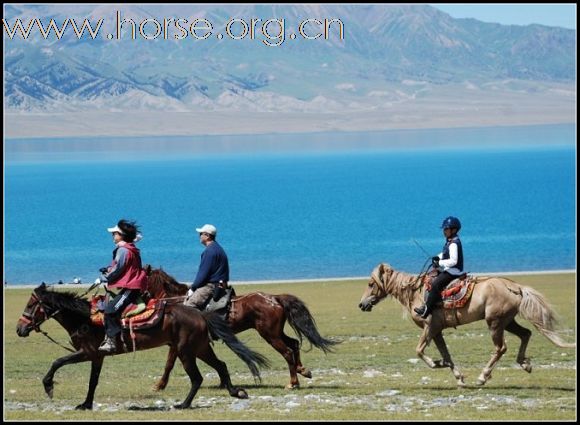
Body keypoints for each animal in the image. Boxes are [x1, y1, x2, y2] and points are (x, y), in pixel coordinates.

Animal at [16, 284, 270, 410]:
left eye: (30, 305)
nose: (19, 329)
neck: (84, 318)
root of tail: (200, 313)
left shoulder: (87, 353)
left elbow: (57, 361)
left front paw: (48, 386)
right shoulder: (97, 357)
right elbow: (92, 381)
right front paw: (86, 404)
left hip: (187, 352)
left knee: (197, 377)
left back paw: (184, 404)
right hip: (200, 348)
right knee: (222, 366)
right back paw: (236, 392)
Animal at [145, 268, 340, 388]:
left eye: (142, 277)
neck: (176, 302)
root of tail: (275, 298)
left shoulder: (176, 343)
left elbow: (169, 364)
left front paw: (159, 385)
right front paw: (223, 382)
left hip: (270, 335)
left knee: (287, 352)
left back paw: (293, 382)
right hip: (276, 332)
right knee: (294, 344)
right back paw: (302, 370)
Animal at [358, 262, 576, 384]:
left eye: (370, 284)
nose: (361, 304)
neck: (416, 293)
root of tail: (516, 287)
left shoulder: (430, 327)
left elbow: (419, 351)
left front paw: (437, 363)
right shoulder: (437, 331)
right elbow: (447, 354)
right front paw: (458, 377)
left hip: (495, 323)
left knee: (501, 348)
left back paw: (483, 377)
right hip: (508, 321)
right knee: (526, 334)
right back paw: (525, 364)